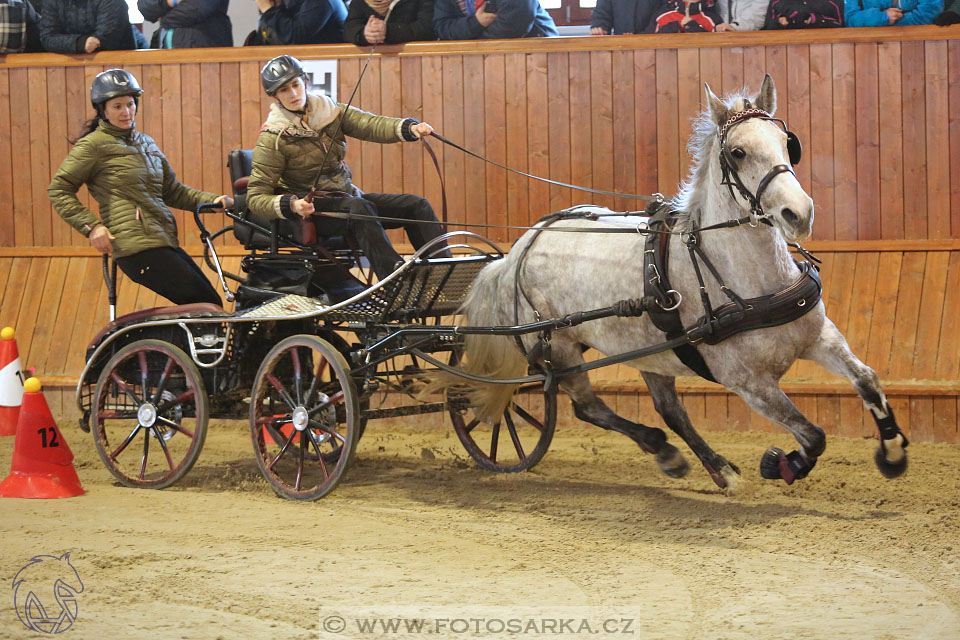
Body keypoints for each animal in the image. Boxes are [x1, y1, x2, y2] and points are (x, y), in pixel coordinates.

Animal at [450, 76, 908, 496]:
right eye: (737, 152)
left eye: (787, 142)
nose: (799, 213)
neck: (747, 284)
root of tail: (518, 251)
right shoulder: (750, 385)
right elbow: (813, 435)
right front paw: (781, 463)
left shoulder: (820, 337)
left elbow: (868, 381)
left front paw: (892, 453)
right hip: (558, 348)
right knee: (589, 408)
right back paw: (667, 451)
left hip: (652, 352)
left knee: (669, 410)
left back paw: (713, 467)